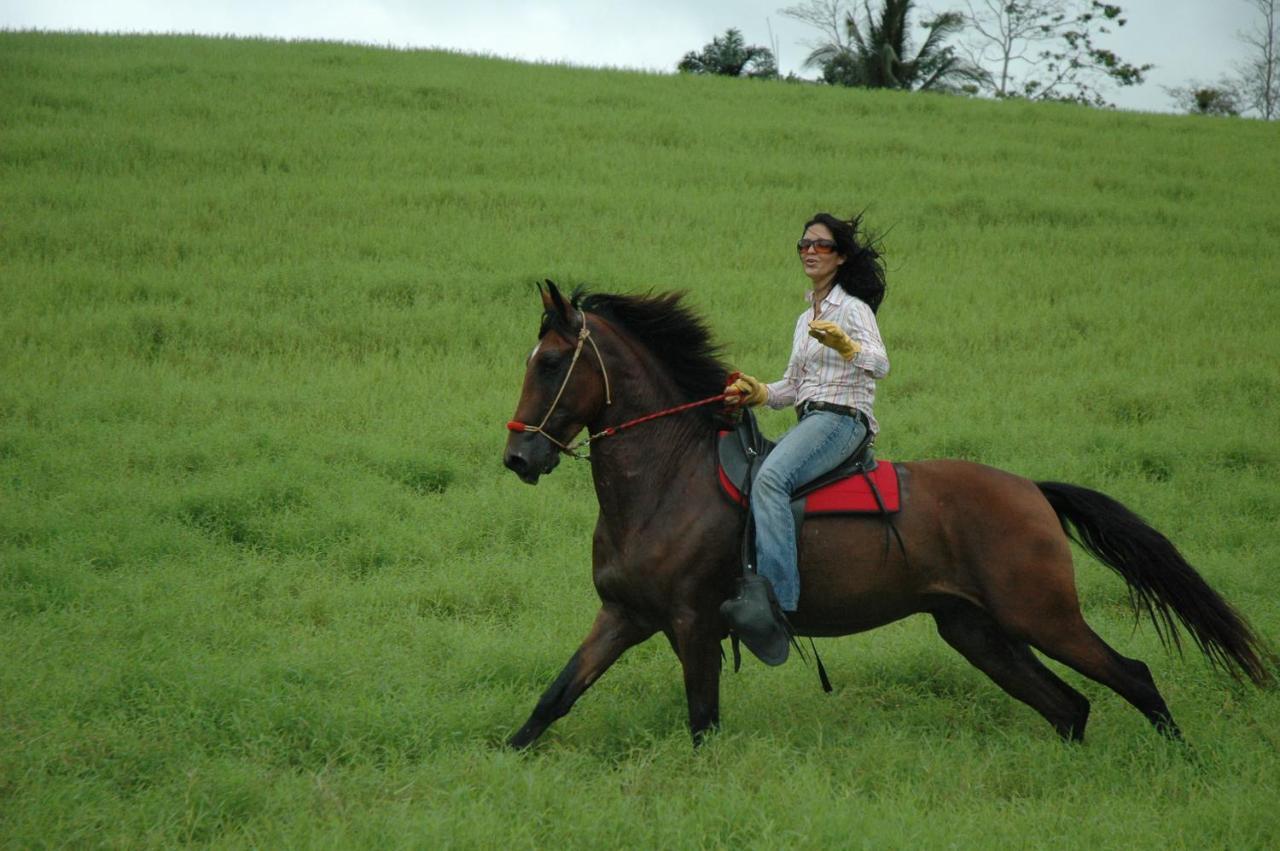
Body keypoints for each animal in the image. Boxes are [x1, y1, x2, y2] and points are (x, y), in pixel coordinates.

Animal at [499, 284, 1269, 742]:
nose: (517, 457)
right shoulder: (623, 616)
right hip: (977, 630)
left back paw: (1180, 765)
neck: (667, 482)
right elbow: (551, 700)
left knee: (1131, 676)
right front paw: (506, 758)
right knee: (1069, 706)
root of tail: (1031, 489)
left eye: (551, 362)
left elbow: (702, 724)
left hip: (1041, 615)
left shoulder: (694, 628)